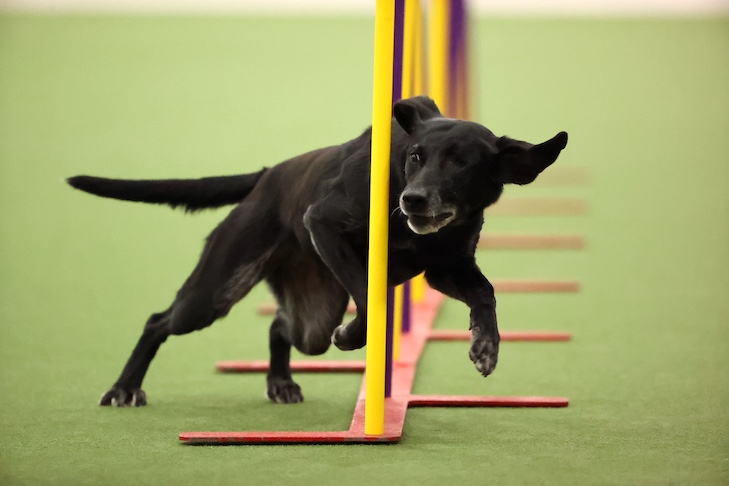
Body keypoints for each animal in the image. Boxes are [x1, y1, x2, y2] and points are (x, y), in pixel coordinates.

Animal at [68, 96, 564, 406]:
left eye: (461, 163)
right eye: (416, 157)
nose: (413, 200)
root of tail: (266, 177)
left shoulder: (447, 267)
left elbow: (486, 293)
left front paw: (486, 345)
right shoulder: (323, 223)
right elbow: (368, 297)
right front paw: (354, 335)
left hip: (312, 317)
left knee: (280, 326)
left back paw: (281, 381)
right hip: (214, 292)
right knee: (158, 322)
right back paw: (124, 389)